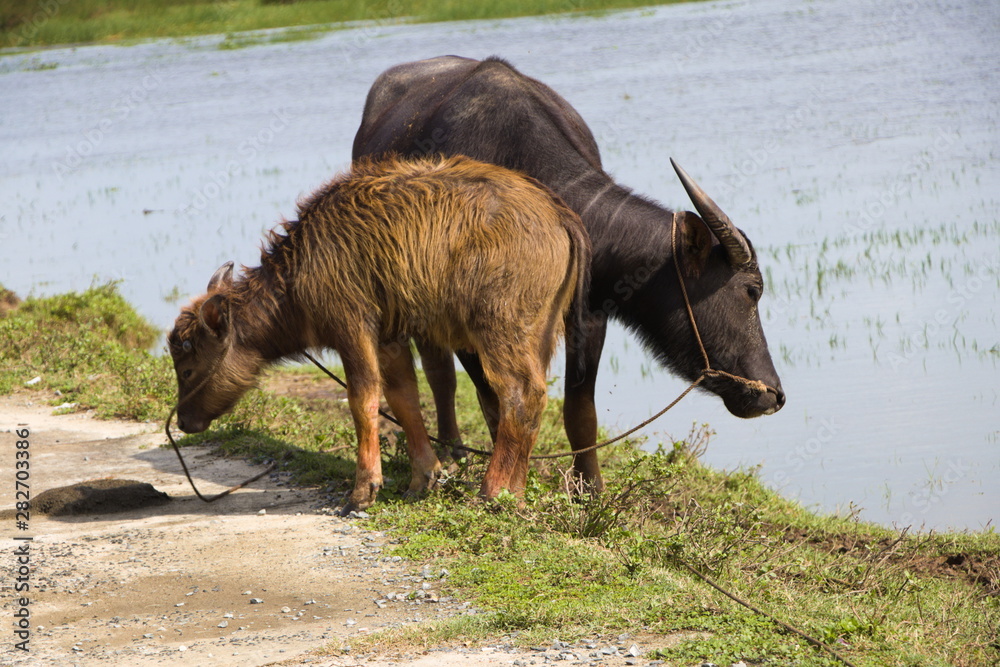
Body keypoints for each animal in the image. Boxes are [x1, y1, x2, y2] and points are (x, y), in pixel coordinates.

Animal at [168, 154, 590, 512]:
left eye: (187, 368)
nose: (184, 422)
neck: (299, 272)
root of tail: (557, 213)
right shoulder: (390, 337)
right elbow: (403, 399)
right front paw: (423, 478)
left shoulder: (352, 326)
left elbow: (363, 398)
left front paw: (363, 491)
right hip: (539, 333)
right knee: (531, 402)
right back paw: (512, 492)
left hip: (500, 329)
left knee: (519, 395)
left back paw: (492, 490)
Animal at [352, 56, 786, 491]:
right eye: (752, 290)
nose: (775, 395)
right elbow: (493, 399)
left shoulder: (590, 316)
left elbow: (580, 412)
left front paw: (591, 488)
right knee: (440, 372)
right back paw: (451, 451)